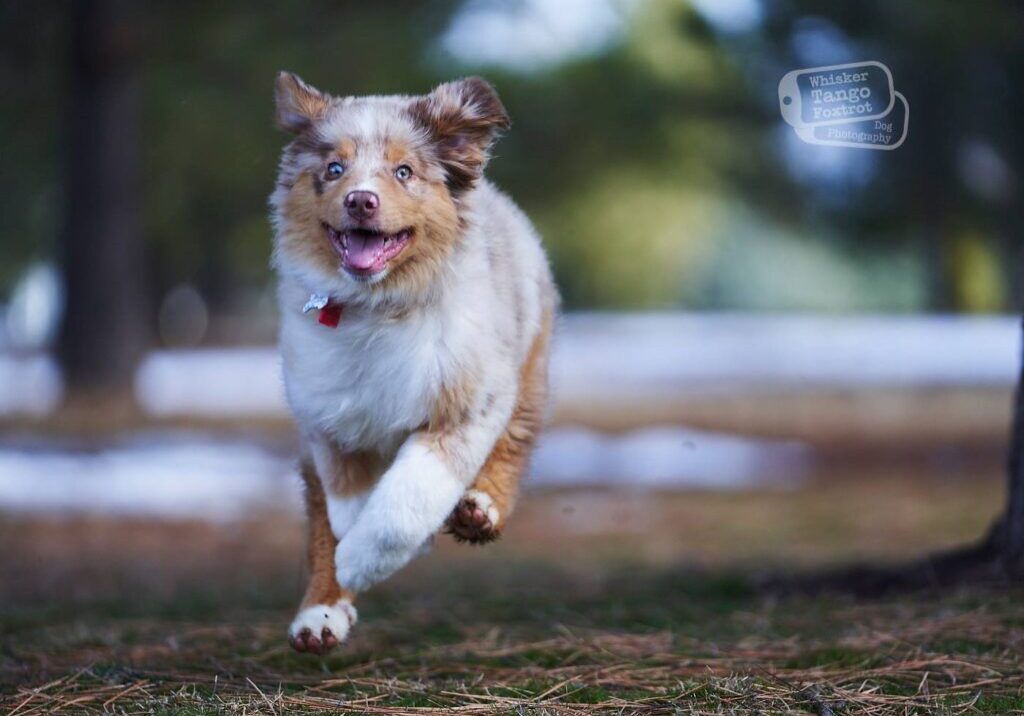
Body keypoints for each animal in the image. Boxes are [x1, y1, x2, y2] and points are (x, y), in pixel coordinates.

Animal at [268, 74, 557, 655]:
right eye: (334, 169)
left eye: (404, 171)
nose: (361, 200)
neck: (378, 308)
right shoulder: (327, 421)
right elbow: (344, 506)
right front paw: (344, 575)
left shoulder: (466, 405)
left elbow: (405, 502)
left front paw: (363, 559)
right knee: (318, 516)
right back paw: (318, 616)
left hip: (527, 361)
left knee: (516, 439)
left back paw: (480, 509)